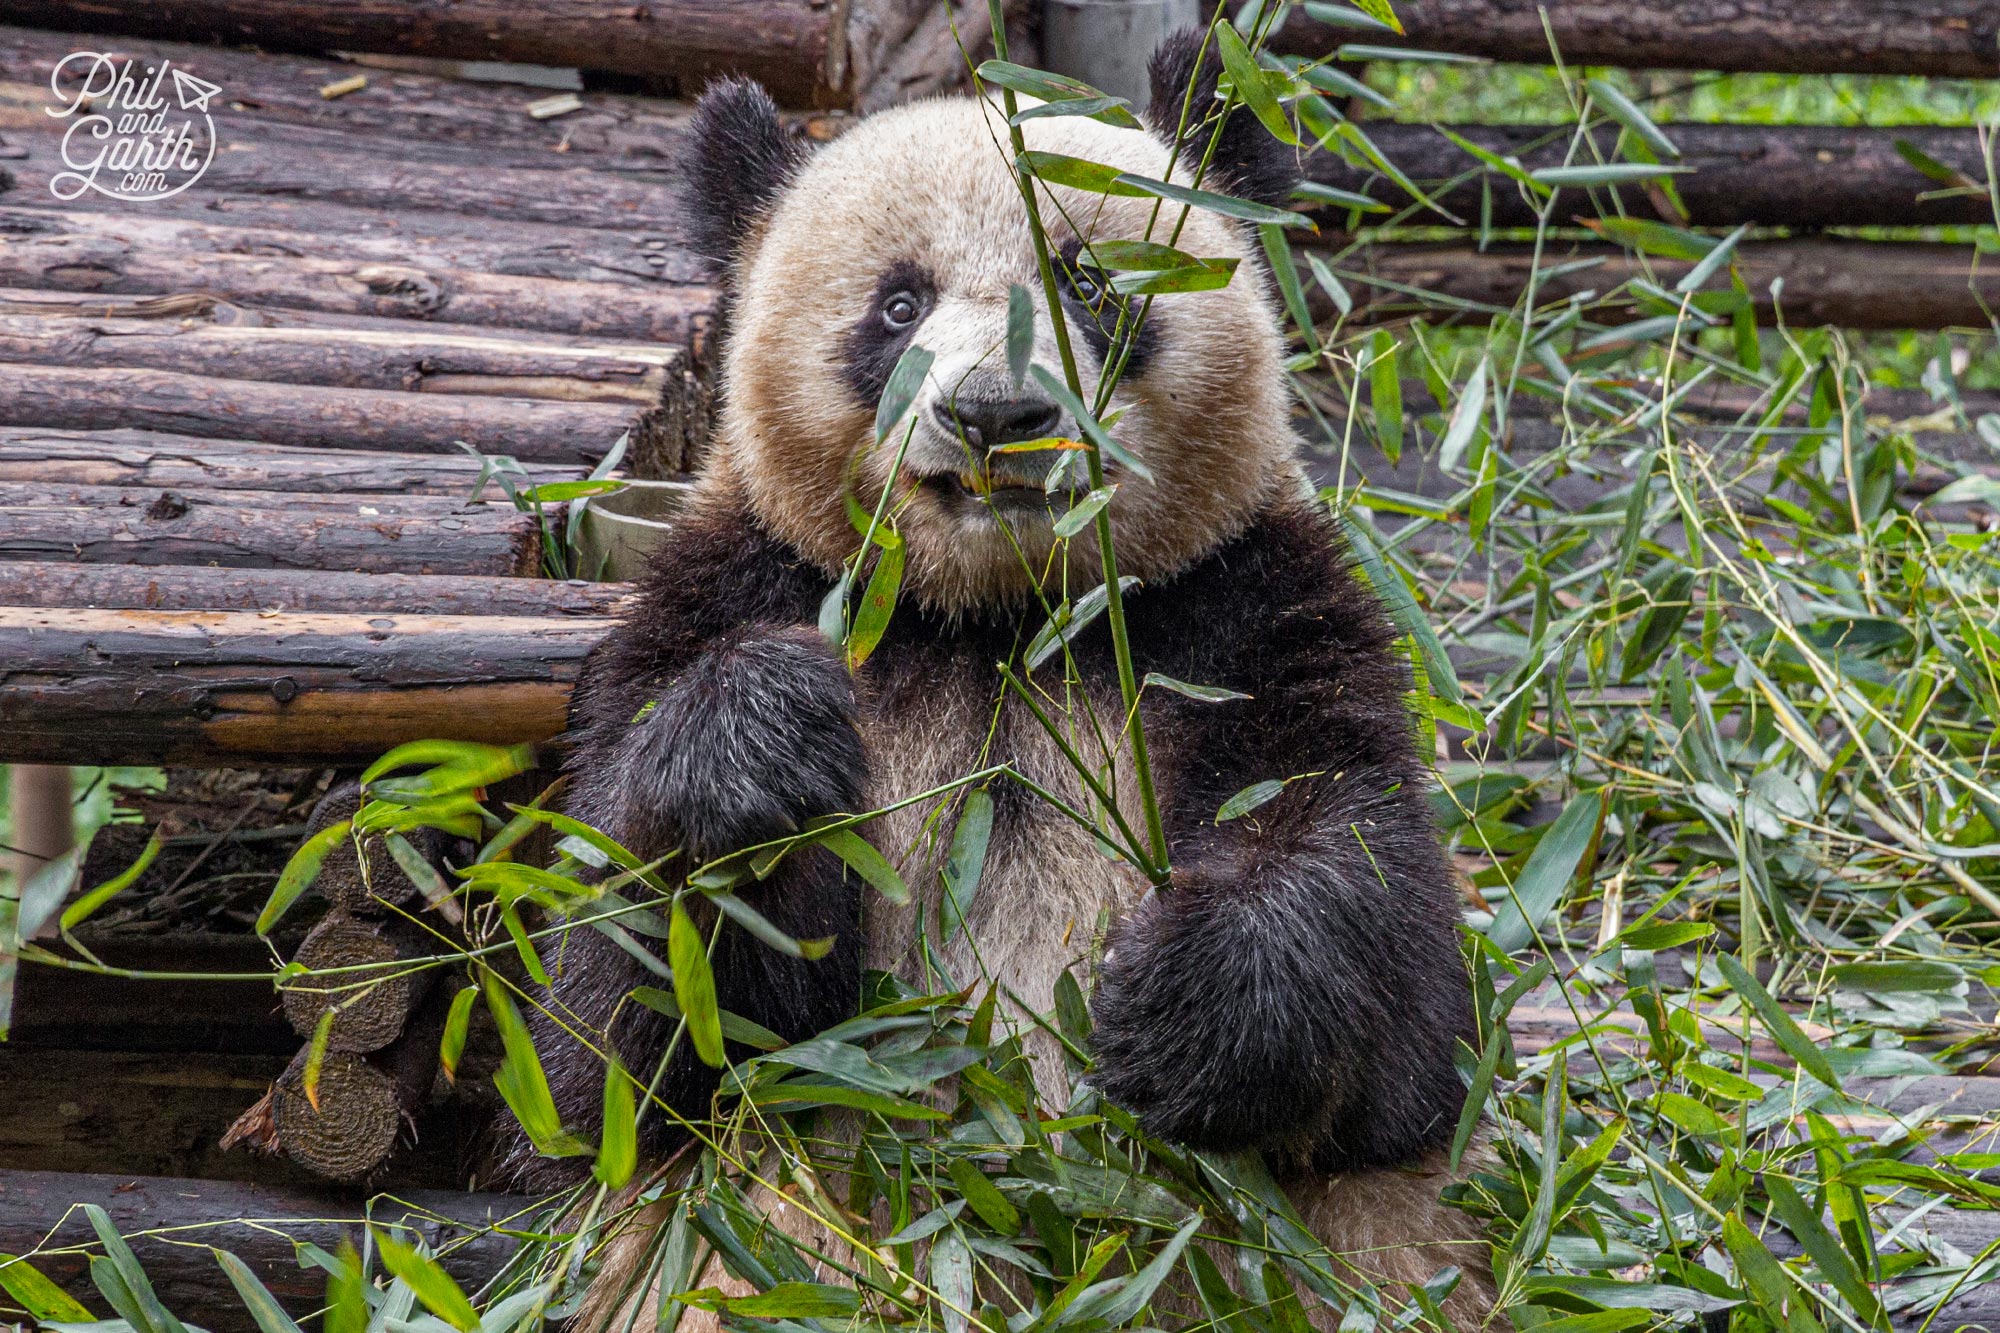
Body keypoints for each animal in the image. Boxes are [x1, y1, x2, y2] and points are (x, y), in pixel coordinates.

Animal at [524, 31, 1496, 1328]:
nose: (996, 413)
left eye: (1087, 283)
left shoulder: (1246, 616)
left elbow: (1385, 972)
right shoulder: (727, 594)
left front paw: (1174, 1000)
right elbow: (624, 1052)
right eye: (898, 303)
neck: (1002, 625)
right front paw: (759, 741)